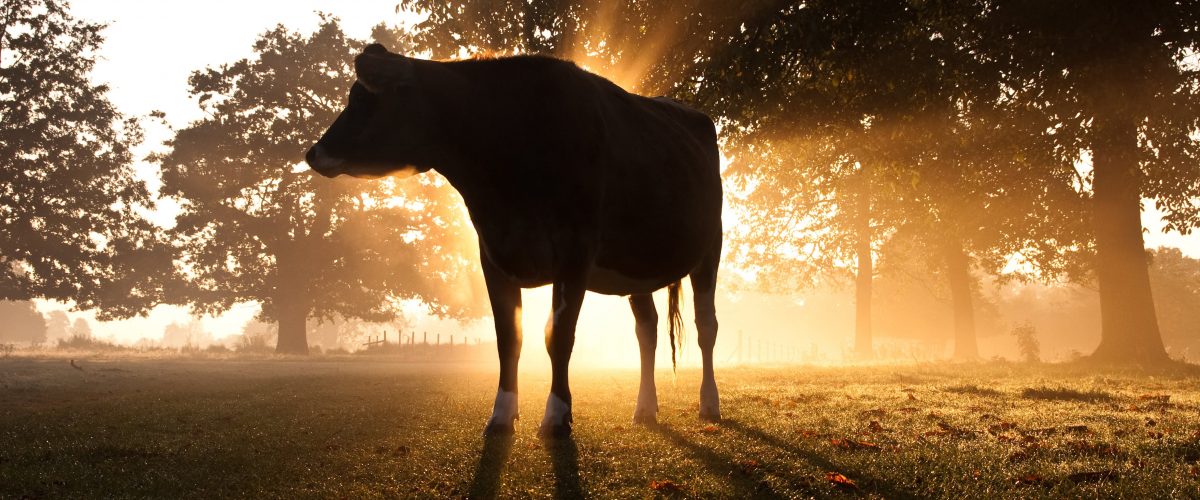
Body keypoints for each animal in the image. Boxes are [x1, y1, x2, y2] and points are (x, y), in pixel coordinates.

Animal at [304, 43, 724, 436]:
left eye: (361, 100)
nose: (312, 153)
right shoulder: (492, 253)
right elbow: (509, 338)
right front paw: (502, 415)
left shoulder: (575, 249)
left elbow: (559, 336)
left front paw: (557, 415)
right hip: (637, 265)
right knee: (647, 330)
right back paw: (645, 409)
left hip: (711, 248)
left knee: (706, 327)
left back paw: (709, 404)